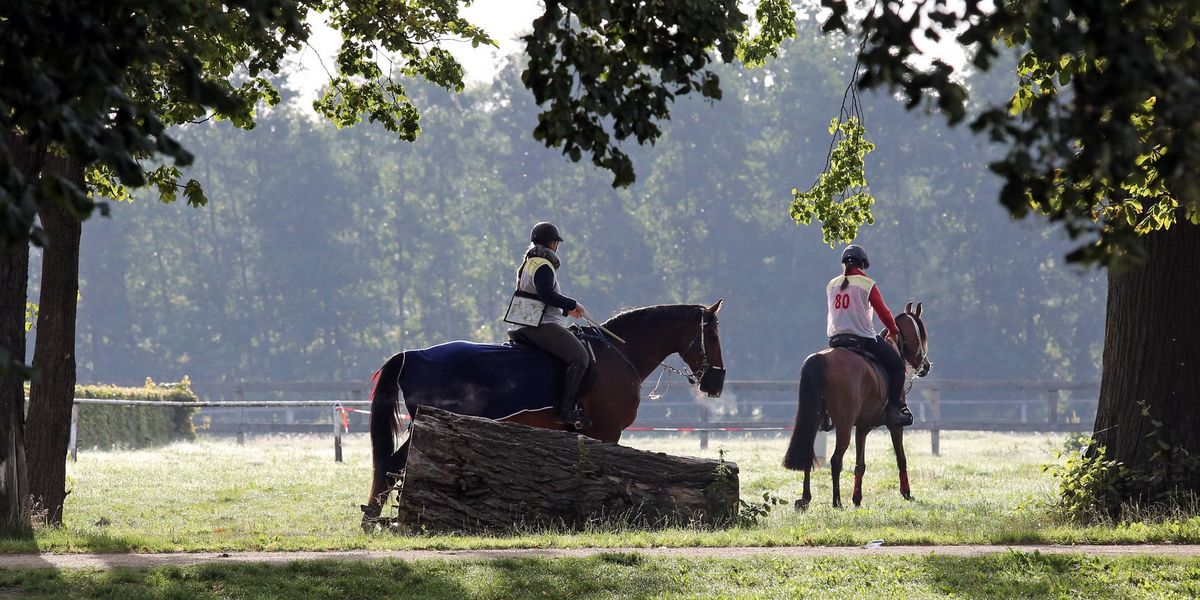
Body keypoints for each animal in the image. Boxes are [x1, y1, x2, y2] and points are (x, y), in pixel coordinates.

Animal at [361, 300, 727, 525]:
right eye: (711, 334)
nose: (716, 382)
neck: (618, 354)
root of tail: (411, 355)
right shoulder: (607, 432)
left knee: (390, 466)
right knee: (392, 466)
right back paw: (371, 521)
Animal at [782, 301, 931, 509]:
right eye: (922, 335)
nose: (926, 366)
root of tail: (821, 358)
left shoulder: (862, 428)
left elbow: (860, 465)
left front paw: (857, 498)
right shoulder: (895, 426)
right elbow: (901, 458)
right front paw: (906, 493)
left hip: (814, 421)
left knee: (808, 455)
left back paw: (805, 498)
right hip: (844, 425)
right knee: (836, 460)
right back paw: (836, 502)